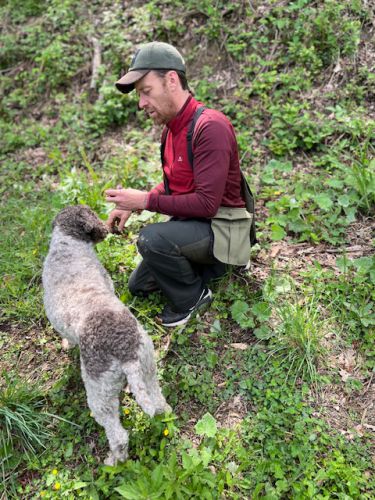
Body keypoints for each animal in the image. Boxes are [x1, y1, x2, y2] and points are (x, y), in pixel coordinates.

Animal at [41, 205, 170, 462]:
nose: (107, 228)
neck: (68, 243)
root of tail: (127, 355)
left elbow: (67, 337)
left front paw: (68, 345)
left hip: (99, 393)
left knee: (118, 435)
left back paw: (114, 461)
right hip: (148, 366)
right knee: (157, 400)